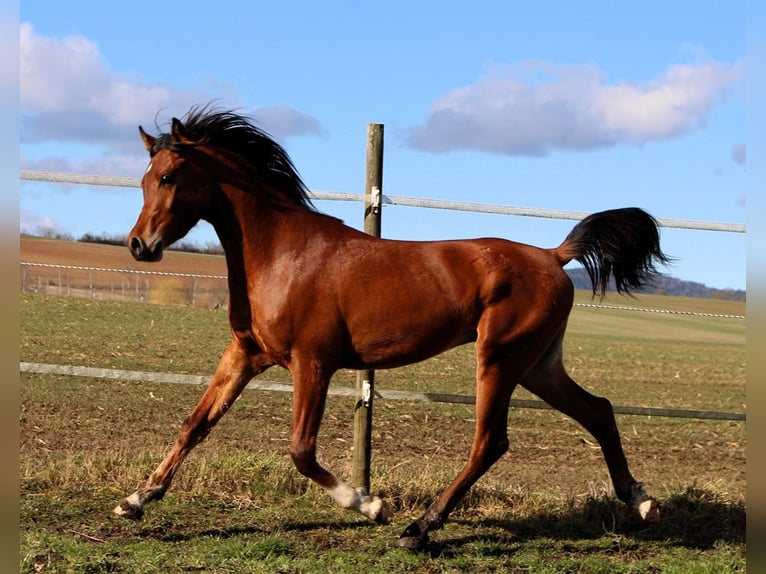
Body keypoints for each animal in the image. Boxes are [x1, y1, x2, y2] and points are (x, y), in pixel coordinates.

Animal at [115, 106, 672, 552]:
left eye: (169, 177)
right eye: (143, 179)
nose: (139, 245)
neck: (282, 254)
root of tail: (554, 256)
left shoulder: (312, 362)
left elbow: (300, 450)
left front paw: (370, 504)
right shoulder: (246, 354)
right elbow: (195, 424)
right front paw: (137, 499)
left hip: (499, 358)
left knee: (490, 441)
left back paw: (419, 529)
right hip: (537, 364)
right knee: (597, 411)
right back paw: (642, 503)